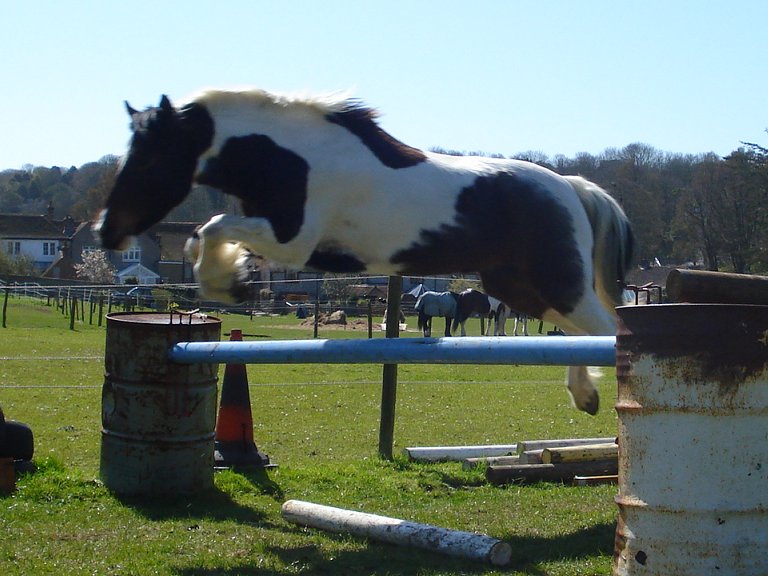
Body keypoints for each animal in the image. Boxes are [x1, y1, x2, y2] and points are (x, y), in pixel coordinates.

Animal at [95, 88, 634, 415]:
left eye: (154, 157)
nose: (107, 232)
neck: (291, 157)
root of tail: (570, 185)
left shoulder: (294, 239)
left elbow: (212, 227)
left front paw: (227, 281)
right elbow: (212, 235)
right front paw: (232, 278)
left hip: (555, 281)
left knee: (604, 329)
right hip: (518, 286)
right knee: (576, 332)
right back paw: (584, 396)